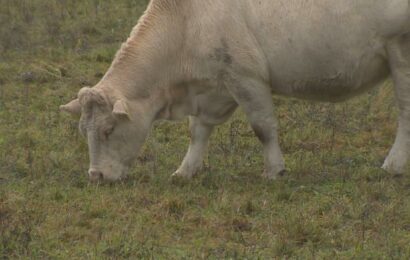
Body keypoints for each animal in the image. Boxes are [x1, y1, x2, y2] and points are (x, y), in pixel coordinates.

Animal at [60, 0, 410, 183]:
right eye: (83, 130)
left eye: (108, 130)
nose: (95, 175)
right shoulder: (214, 87)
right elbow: (198, 132)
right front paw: (185, 171)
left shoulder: (246, 77)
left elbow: (263, 128)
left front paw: (274, 170)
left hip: (401, 52)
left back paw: (393, 165)